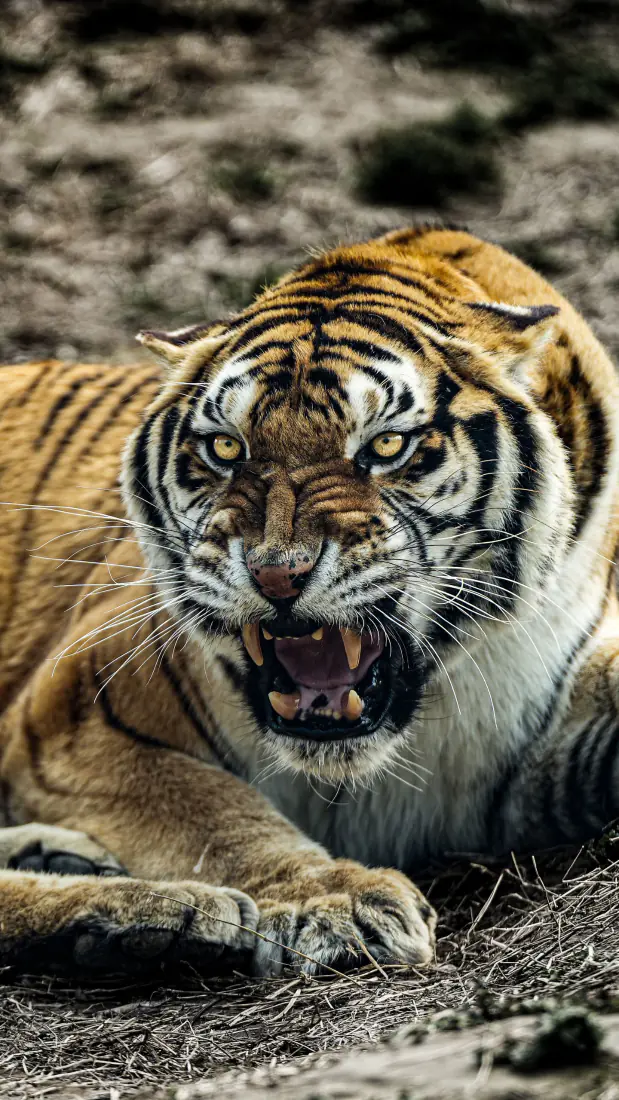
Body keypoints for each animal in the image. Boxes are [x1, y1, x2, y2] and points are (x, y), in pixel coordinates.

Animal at [0, 224, 618, 978]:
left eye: (386, 445)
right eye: (225, 447)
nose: (276, 575)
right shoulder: (72, 719)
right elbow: (213, 813)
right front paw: (334, 900)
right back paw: (156, 913)